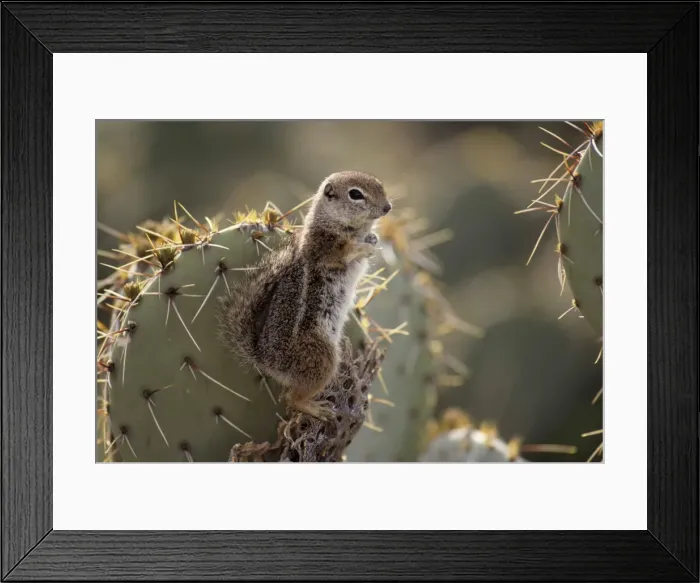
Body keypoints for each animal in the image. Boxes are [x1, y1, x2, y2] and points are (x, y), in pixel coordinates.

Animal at [217, 170, 392, 421]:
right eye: (356, 194)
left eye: (379, 184)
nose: (387, 207)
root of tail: (266, 361)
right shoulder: (323, 247)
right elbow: (344, 252)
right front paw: (363, 247)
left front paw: (373, 238)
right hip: (322, 358)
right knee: (292, 399)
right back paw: (315, 408)